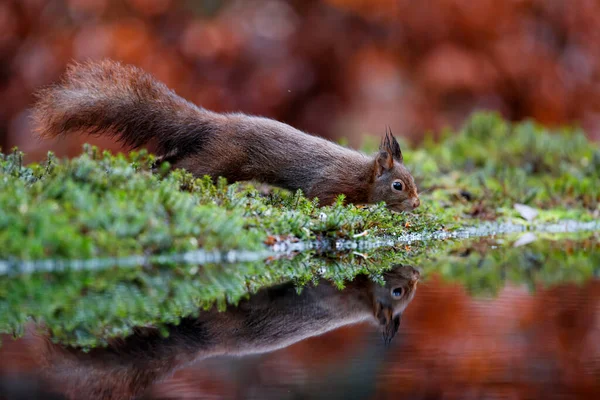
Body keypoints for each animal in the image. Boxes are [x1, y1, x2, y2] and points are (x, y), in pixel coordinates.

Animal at [30, 60, 420, 211]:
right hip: (220, 159)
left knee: (168, 160)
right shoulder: (329, 183)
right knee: (185, 167)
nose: (417, 204)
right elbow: (319, 198)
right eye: (398, 185)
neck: (362, 175)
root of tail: (216, 122)